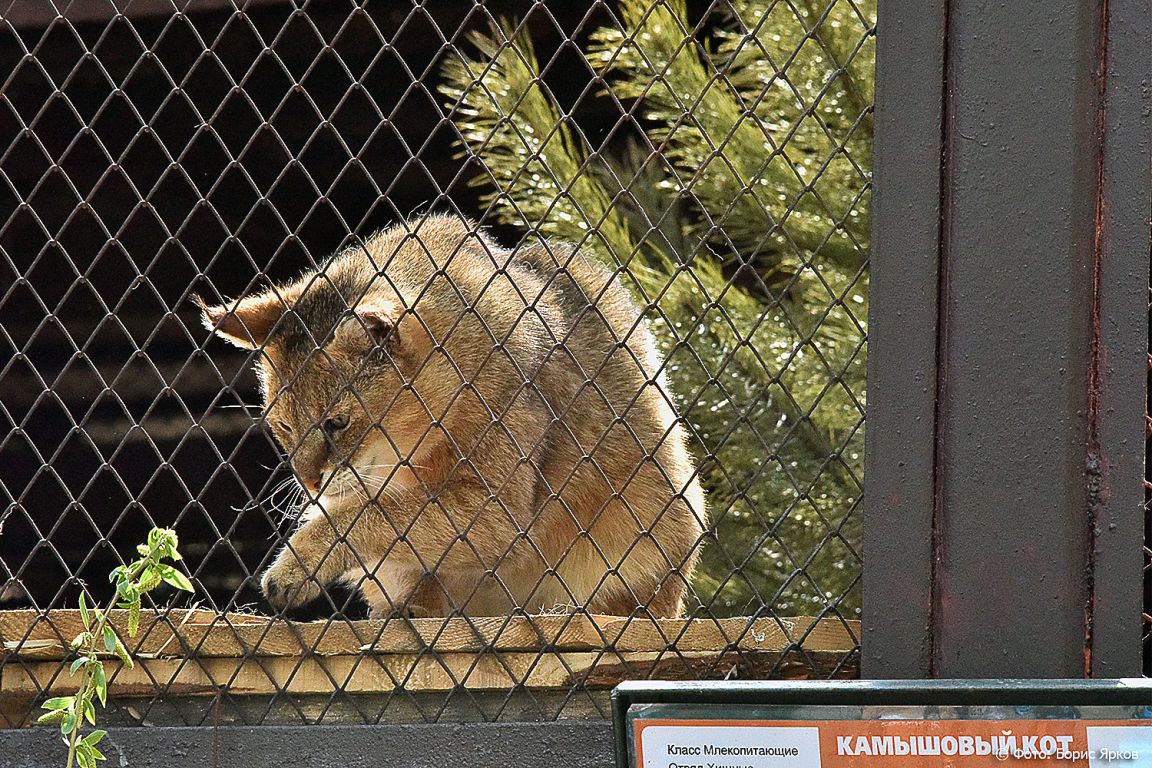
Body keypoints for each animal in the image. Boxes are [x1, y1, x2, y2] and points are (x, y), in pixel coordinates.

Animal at [196, 215, 700, 617]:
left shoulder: (496, 509)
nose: (308, 482)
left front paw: (295, 564)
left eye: (336, 422)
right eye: (283, 426)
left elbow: (370, 512)